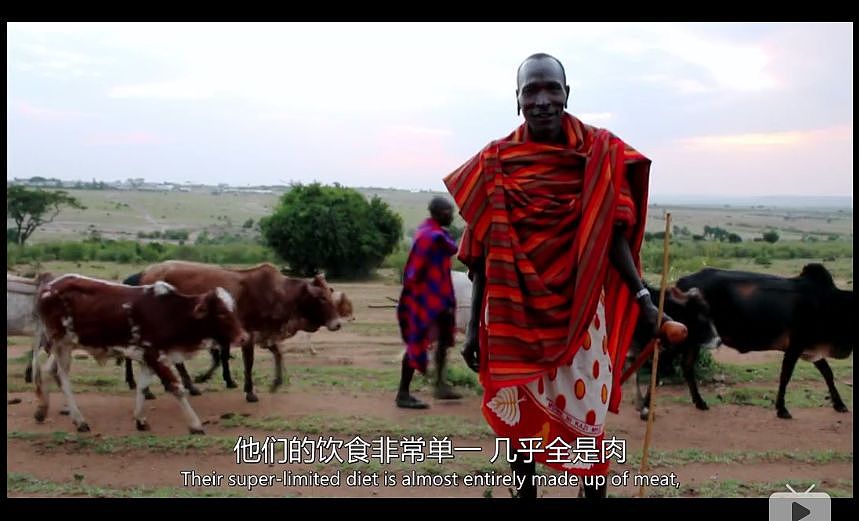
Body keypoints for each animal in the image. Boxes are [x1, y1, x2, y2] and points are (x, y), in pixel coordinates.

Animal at [34, 274, 249, 432]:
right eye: (221, 313)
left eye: (234, 310)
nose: (243, 337)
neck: (170, 313)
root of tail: (48, 287)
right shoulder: (156, 355)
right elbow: (176, 387)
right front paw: (195, 425)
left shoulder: (148, 358)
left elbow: (143, 388)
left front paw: (140, 420)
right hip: (60, 344)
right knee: (62, 377)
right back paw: (80, 421)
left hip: (66, 344)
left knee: (48, 370)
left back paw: (42, 410)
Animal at [125, 260, 346, 402]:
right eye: (321, 298)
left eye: (329, 295)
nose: (337, 324)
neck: (279, 293)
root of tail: (145, 273)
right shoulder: (248, 334)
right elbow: (248, 362)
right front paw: (250, 392)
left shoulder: (265, 334)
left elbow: (278, 353)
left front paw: (276, 382)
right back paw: (147, 389)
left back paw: (186, 386)